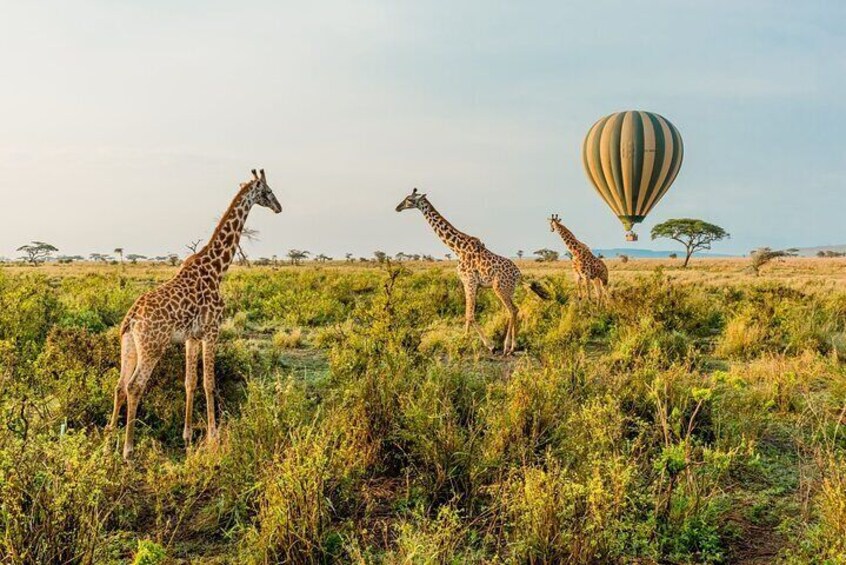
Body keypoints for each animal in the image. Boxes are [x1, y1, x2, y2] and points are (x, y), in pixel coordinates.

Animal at [107, 169, 282, 459]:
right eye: (268, 191)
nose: (279, 207)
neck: (217, 269)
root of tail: (131, 319)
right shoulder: (212, 331)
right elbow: (209, 383)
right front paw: (214, 436)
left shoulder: (192, 337)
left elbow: (190, 382)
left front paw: (187, 436)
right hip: (153, 347)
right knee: (134, 386)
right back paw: (128, 450)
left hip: (129, 345)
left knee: (120, 385)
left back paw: (110, 434)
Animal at [396, 188, 548, 354]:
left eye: (409, 200)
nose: (398, 207)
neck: (457, 248)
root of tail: (518, 274)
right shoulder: (472, 284)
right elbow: (467, 314)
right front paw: (465, 338)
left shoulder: (469, 281)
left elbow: (470, 314)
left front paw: (488, 345)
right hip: (509, 289)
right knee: (516, 310)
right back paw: (514, 346)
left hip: (499, 287)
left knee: (513, 310)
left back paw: (507, 346)